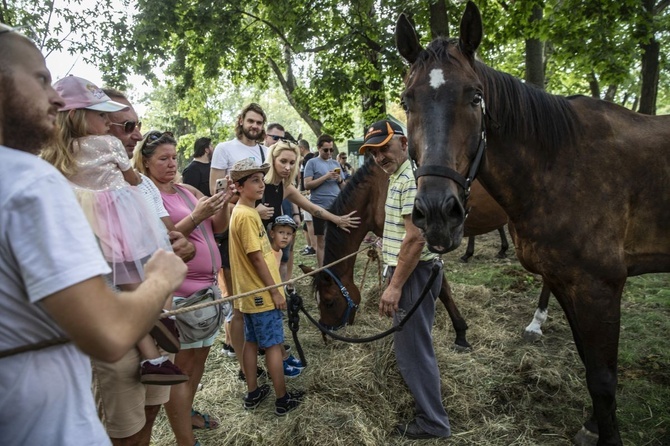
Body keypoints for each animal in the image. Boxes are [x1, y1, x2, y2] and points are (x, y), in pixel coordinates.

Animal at [396, 1, 670, 444]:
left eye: (476, 97)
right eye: (407, 101)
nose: (437, 212)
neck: (562, 163)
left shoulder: (600, 287)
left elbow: (603, 379)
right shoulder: (567, 281)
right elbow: (590, 365)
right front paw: (593, 423)